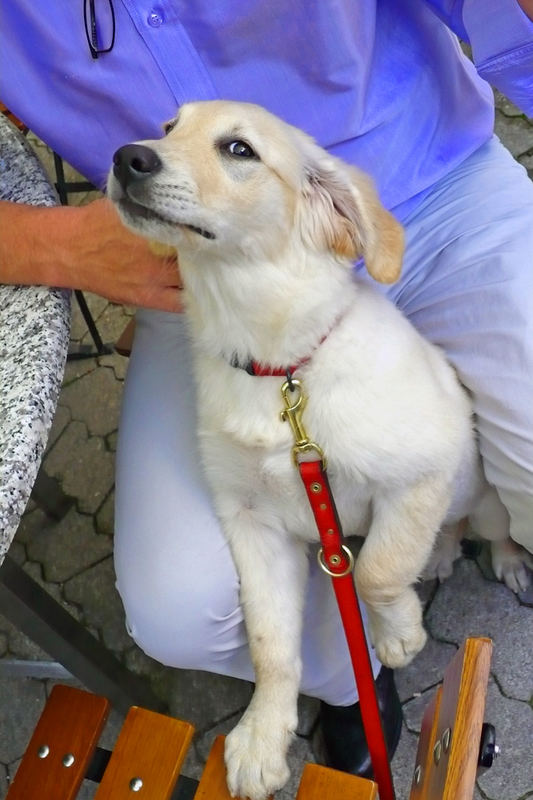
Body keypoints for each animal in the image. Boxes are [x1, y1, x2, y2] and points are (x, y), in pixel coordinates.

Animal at [107, 101, 528, 800]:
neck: (281, 376)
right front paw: (261, 737)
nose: (125, 157)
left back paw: (505, 560)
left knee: (486, 527)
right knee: (442, 533)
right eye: (169, 128)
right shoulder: (251, 523)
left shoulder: (422, 472)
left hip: (487, 490)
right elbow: (271, 642)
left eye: (239, 149)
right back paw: (440, 556)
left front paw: (399, 634)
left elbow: (378, 568)